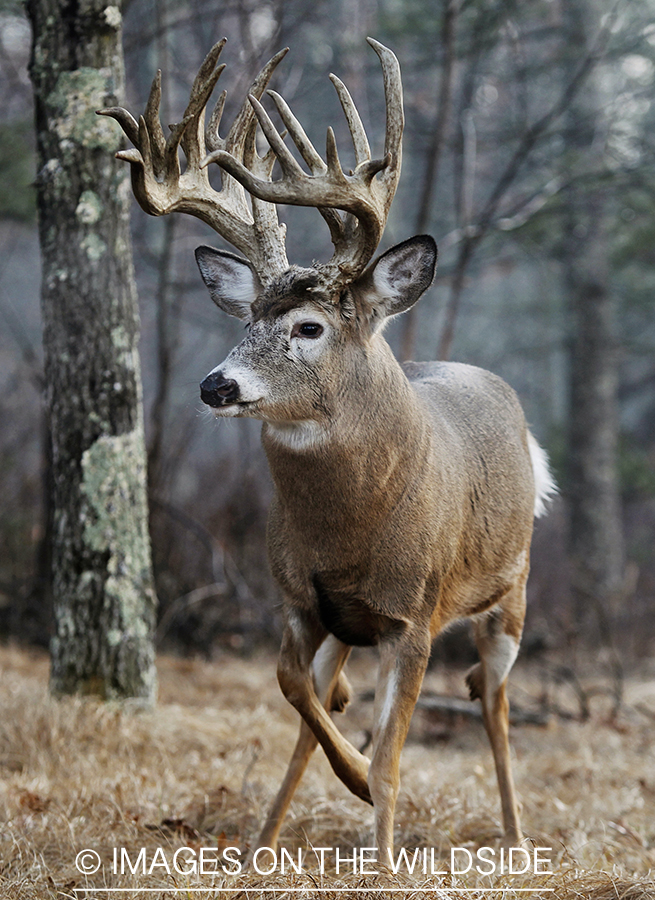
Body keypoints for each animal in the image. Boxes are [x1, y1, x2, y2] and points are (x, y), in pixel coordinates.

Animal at [101, 38, 552, 860]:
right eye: (247, 317)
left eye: (308, 326)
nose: (216, 385)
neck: (350, 530)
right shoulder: (300, 600)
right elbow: (294, 687)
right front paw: (328, 789)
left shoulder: (414, 614)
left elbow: (393, 751)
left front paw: (381, 850)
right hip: (355, 624)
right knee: (340, 700)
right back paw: (268, 837)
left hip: (511, 590)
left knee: (494, 700)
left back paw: (512, 835)